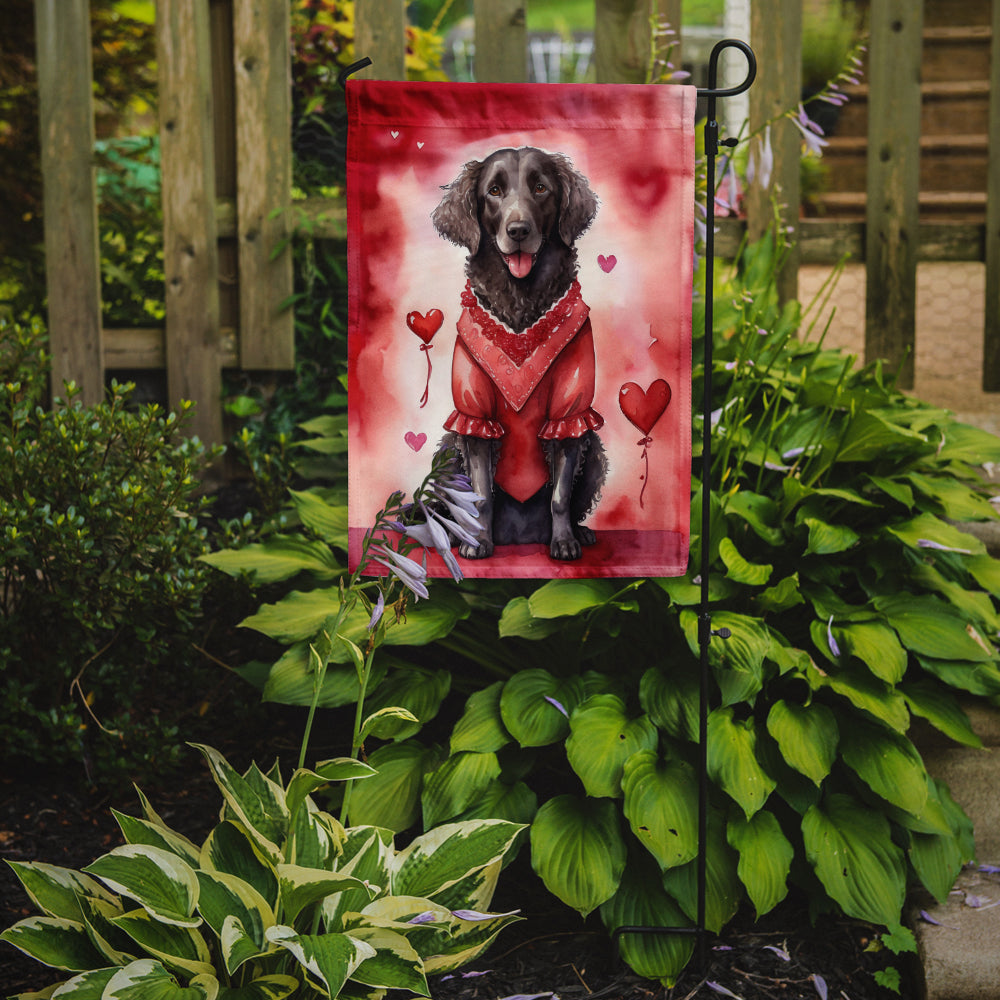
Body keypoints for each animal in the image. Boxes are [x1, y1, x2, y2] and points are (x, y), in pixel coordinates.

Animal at [432, 145, 604, 560]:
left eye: (540, 188)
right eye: (494, 191)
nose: (519, 231)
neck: (521, 308)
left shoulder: (570, 416)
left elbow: (560, 495)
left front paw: (563, 542)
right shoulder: (473, 417)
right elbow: (480, 496)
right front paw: (478, 543)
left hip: (595, 450)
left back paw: (580, 533)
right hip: (446, 451)